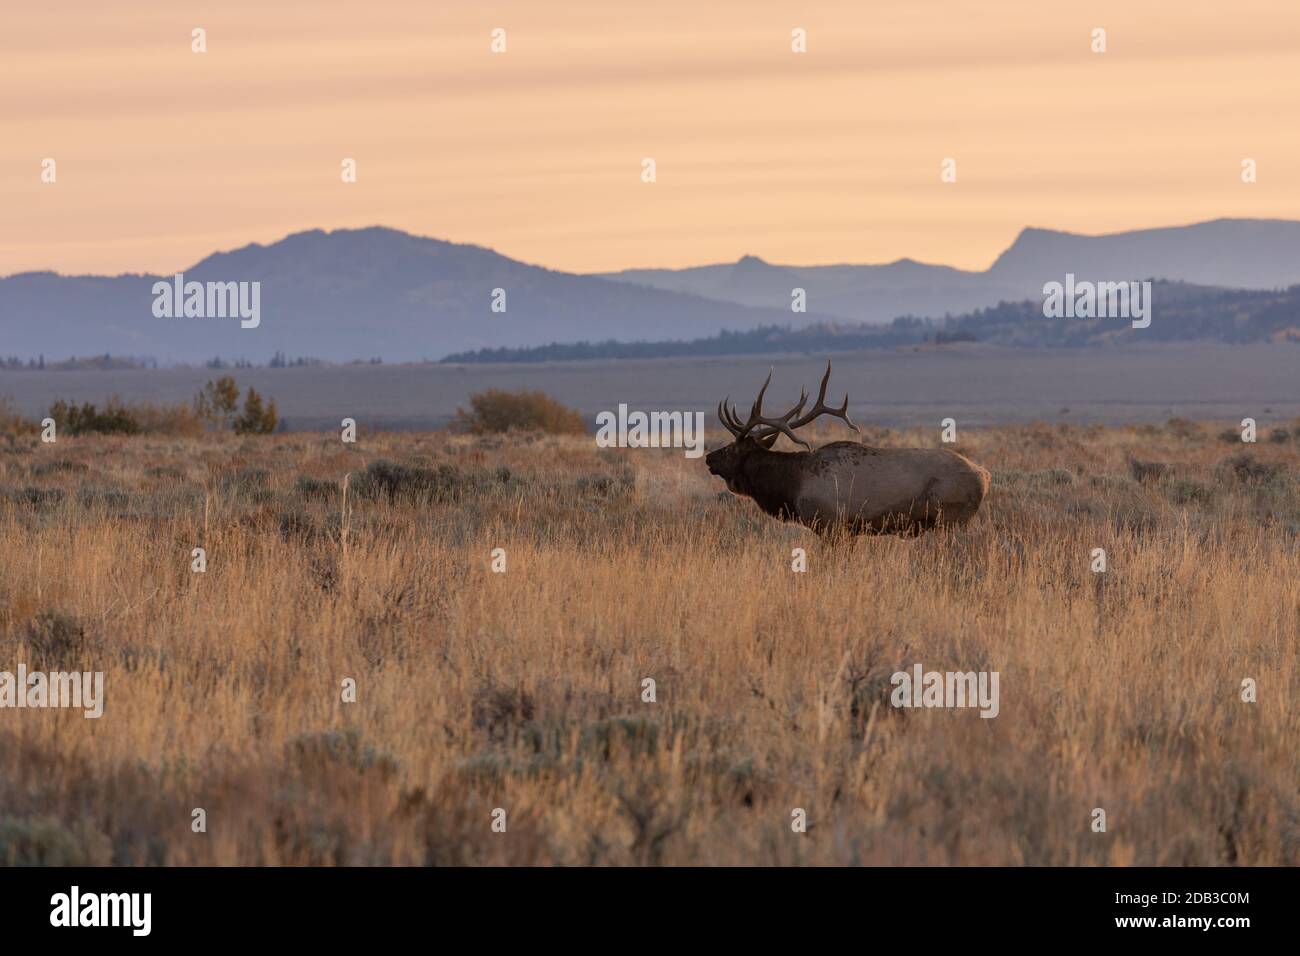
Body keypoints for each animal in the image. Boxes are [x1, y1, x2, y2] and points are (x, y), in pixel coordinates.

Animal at [707, 361, 987, 535]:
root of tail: (985, 475)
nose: (709, 457)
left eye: (732, 448)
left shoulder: (831, 524)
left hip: (951, 518)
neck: (792, 485)